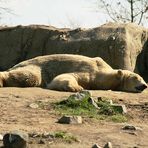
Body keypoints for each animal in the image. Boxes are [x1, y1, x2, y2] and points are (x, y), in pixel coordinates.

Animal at [0, 54, 147, 92]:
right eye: (136, 77)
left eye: (143, 78)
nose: (145, 86)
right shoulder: (90, 72)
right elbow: (66, 76)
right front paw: (77, 87)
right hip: (35, 66)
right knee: (30, 76)